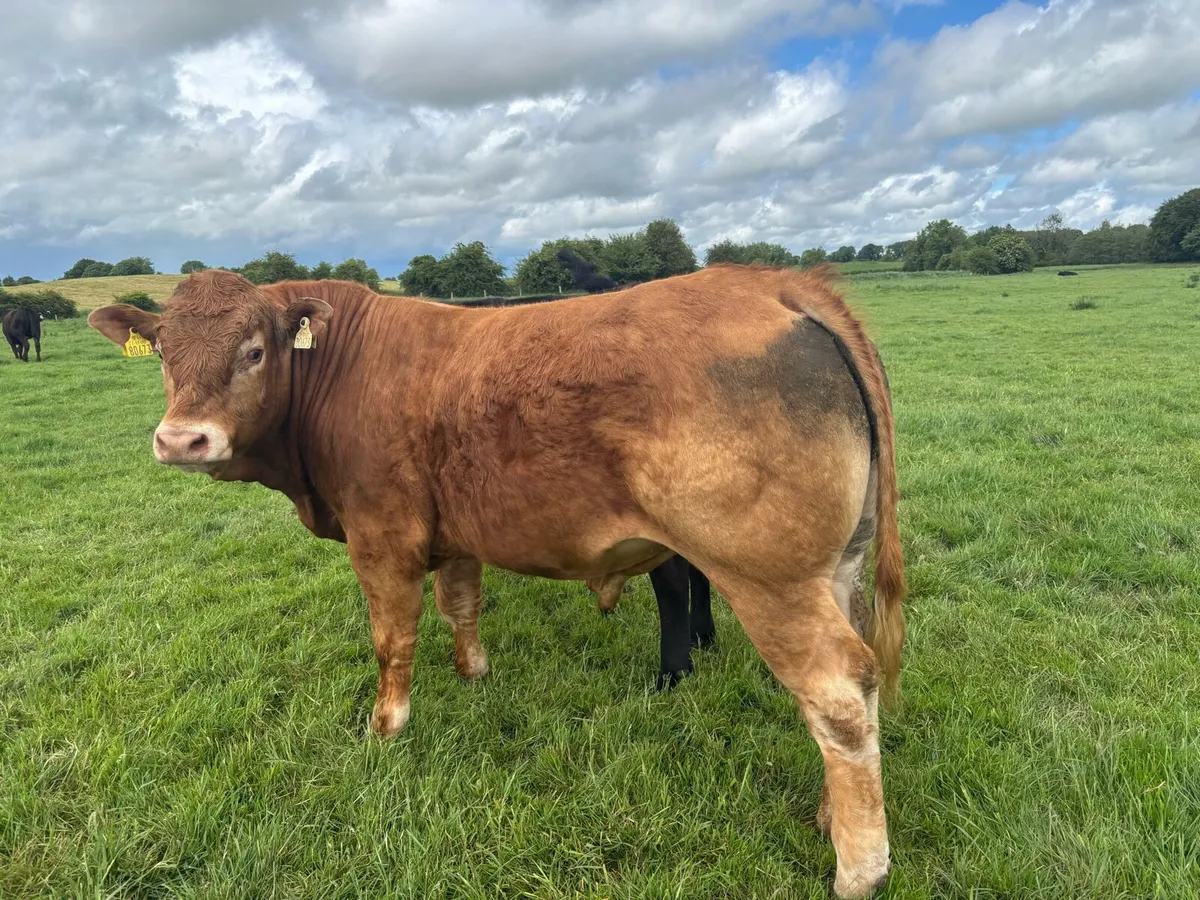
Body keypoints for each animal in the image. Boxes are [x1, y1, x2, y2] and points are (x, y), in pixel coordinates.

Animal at [88, 265, 905, 898]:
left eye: (254, 350)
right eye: (162, 353)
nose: (181, 439)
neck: (343, 372)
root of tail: (772, 282)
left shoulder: (382, 536)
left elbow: (392, 636)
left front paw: (386, 727)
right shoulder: (453, 533)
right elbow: (461, 606)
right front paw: (474, 671)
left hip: (770, 581)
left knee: (838, 693)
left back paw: (858, 868)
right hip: (837, 568)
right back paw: (830, 819)